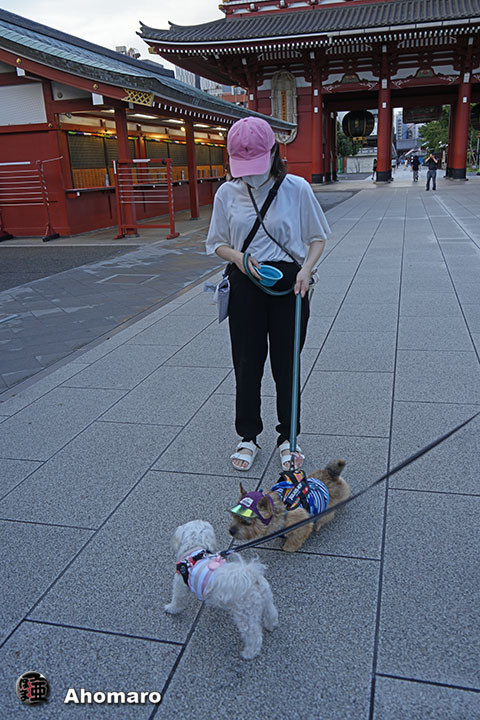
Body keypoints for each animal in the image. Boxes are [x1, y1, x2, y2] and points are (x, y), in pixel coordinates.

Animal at [165, 520, 278, 660]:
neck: (194, 549)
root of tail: (252, 576)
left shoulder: (180, 584)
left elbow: (177, 600)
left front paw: (171, 608)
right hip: (266, 598)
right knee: (271, 612)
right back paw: (271, 625)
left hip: (245, 615)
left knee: (254, 636)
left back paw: (249, 653)